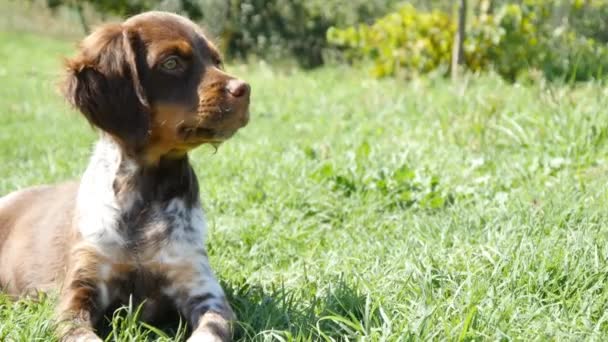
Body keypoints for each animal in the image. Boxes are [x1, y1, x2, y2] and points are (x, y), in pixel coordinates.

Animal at [0, 10, 251, 342]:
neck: (145, 190)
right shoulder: (79, 289)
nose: (244, 89)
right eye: (172, 62)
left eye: (217, 60)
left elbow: (209, 332)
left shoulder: (203, 289)